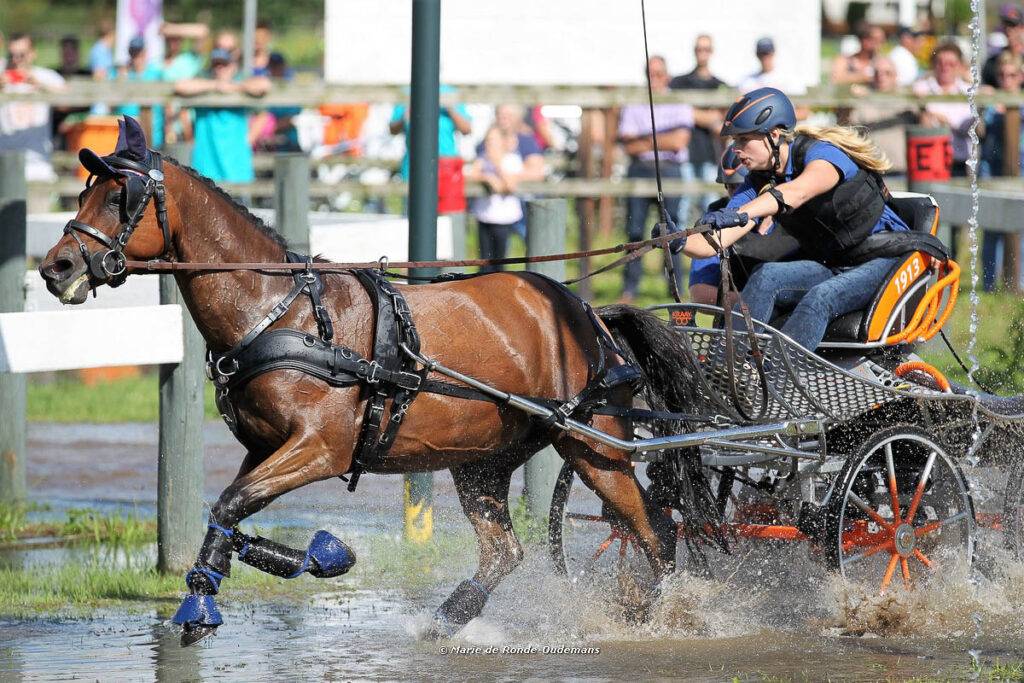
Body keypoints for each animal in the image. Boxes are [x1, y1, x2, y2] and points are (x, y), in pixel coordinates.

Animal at [37, 116, 712, 647]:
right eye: (86, 190)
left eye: (121, 196)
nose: (56, 267)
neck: (281, 311)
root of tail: (589, 314)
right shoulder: (265, 447)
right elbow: (230, 507)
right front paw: (303, 559)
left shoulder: (320, 447)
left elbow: (230, 504)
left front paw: (205, 601)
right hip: (483, 459)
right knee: (507, 551)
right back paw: (447, 620)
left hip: (594, 443)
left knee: (654, 530)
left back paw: (655, 614)